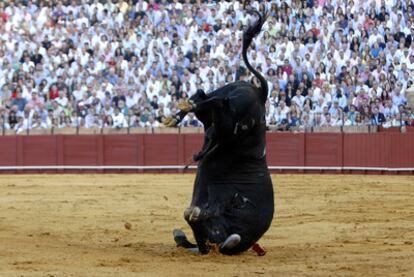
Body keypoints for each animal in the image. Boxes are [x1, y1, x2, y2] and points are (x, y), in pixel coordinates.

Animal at [165, 5, 274, 254]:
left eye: (212, 232)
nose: (199, 214)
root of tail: (260, 94)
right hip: (230, 111)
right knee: (214, 101)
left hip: (226, 109)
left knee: (208, 99)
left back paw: (181, 114)